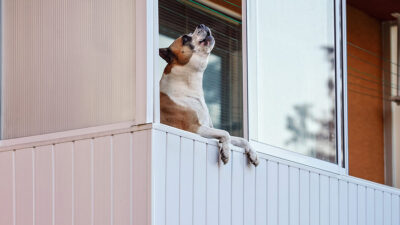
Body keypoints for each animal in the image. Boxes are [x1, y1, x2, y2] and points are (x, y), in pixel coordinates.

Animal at [158, 24, 258, 165]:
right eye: (185, 38)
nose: (202, 25)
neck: (188, 85)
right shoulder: (195, 128)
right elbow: (225, 133)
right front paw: (226, 151)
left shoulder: (208, 128)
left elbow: (241, 139)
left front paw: (253, 153)